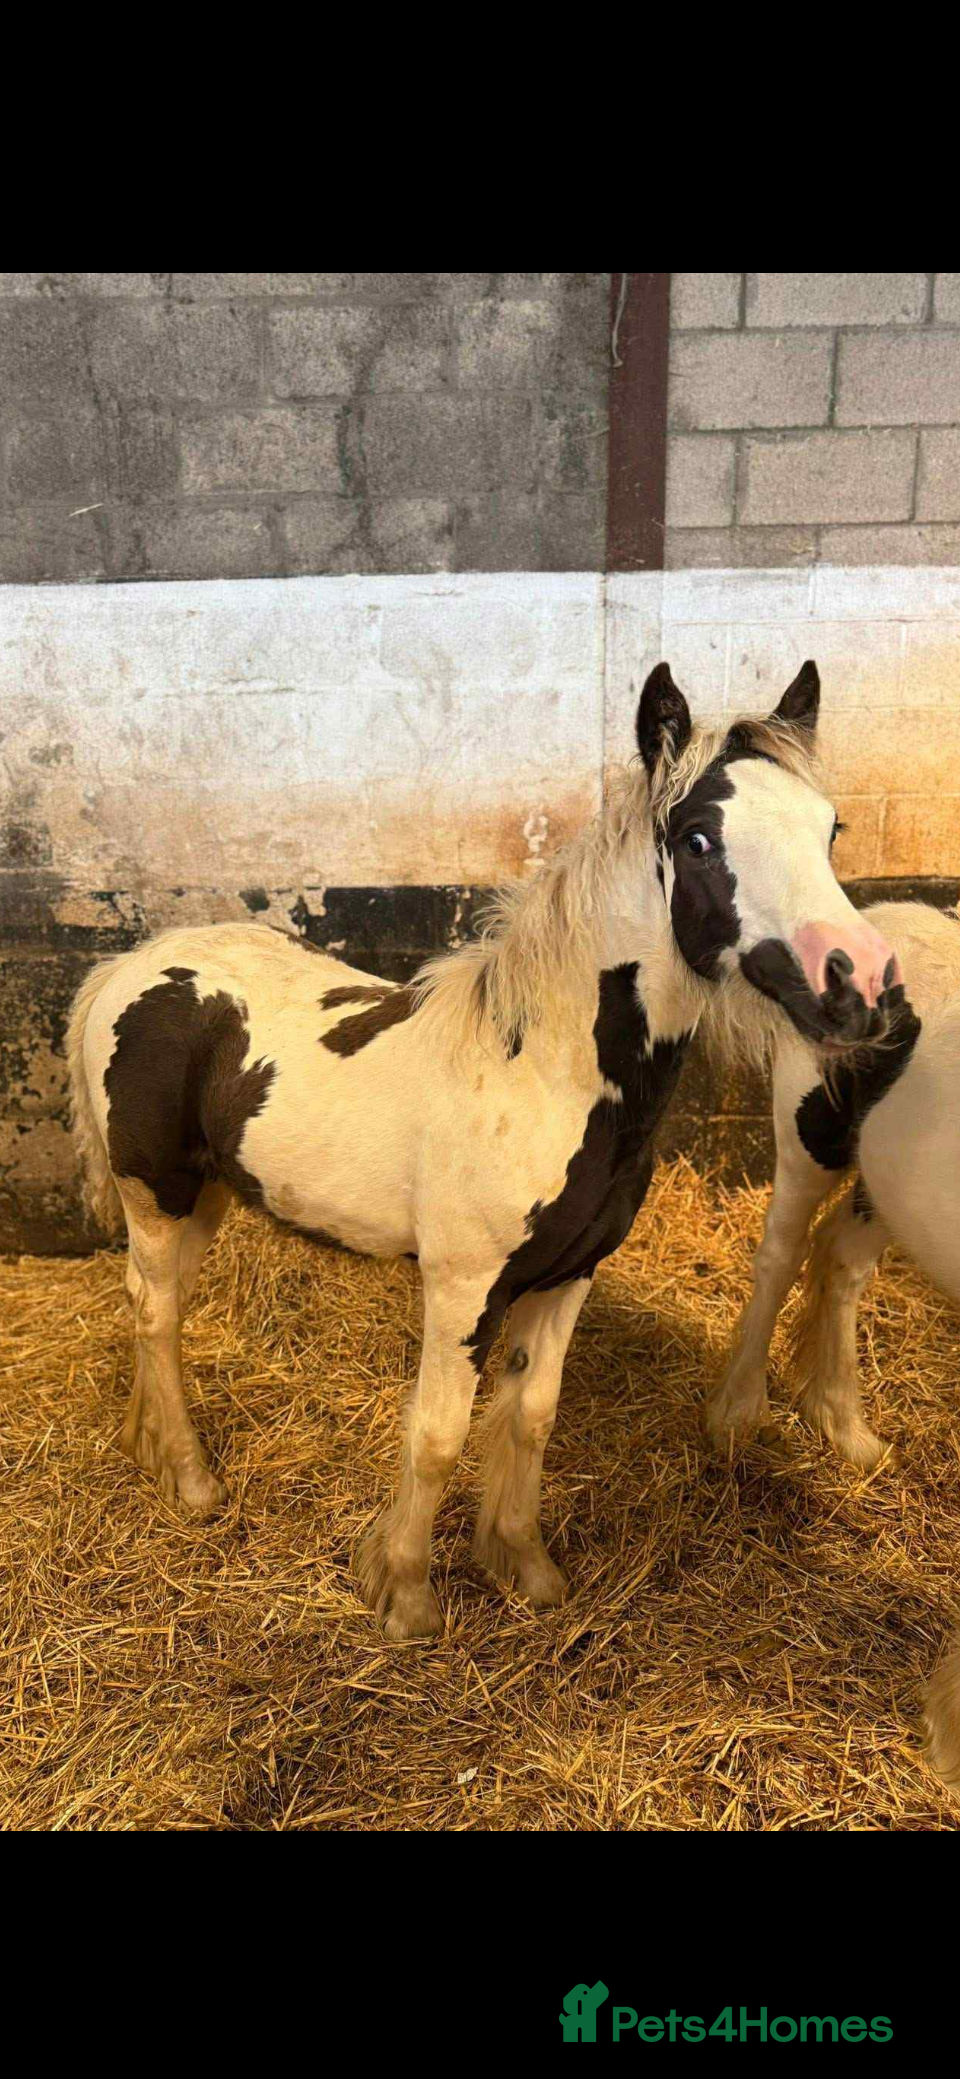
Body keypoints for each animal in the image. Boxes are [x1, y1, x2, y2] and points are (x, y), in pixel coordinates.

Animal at [67, 658, 900, 1642]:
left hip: (205, 1196)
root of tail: (128, 966)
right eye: (699, 839)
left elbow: (531, 1415)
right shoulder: (463, 1288)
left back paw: (151, 1447)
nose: (862, 985)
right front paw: (405, 1593)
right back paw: (194, 1481)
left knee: (152, 1306)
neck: (543, 1071)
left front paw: (524, 1565)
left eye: (830, 828)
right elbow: (437, 1433)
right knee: (157, 1315)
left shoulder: (569, 1275)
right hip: (154, 1192)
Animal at [705, 899, 960, 1789]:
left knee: (842, 1263)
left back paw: (843, 1427)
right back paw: (737, 1412)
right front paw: (950, 1731)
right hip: (809, 1136)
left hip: (885, 1186)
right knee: (782, 1253)